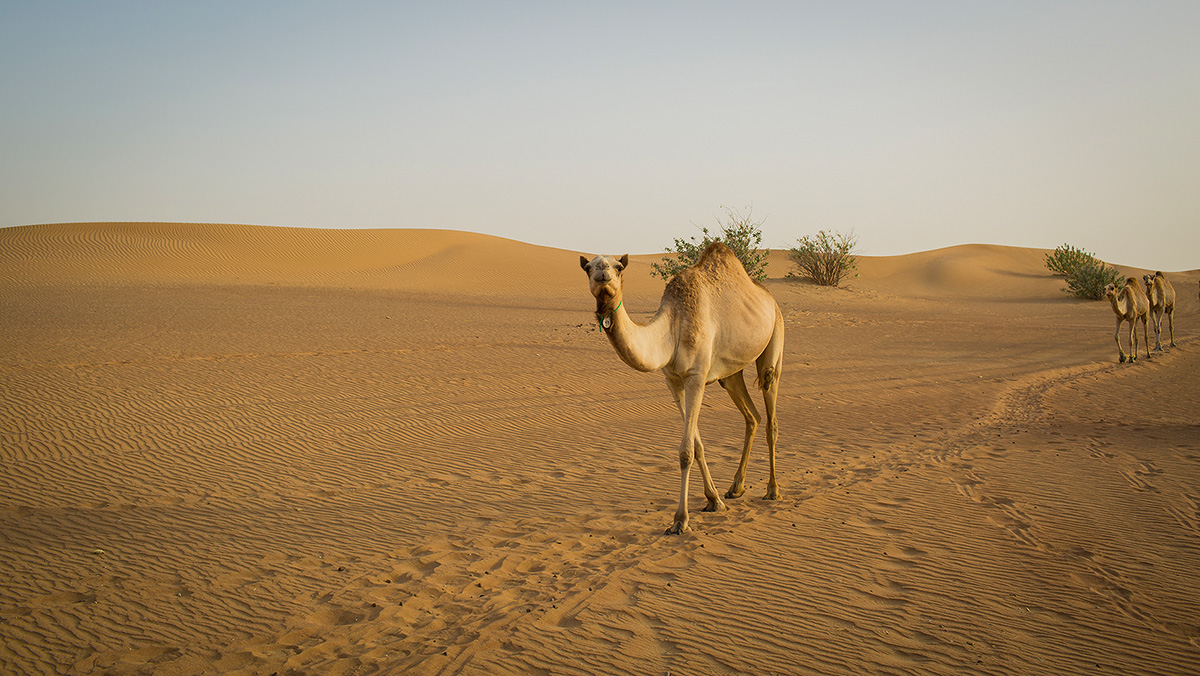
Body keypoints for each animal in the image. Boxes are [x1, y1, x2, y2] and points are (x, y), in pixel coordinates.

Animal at [580, 242, 787, 535]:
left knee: (771, 413)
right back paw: (736, 488)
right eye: (587, 267)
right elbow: (697, 445)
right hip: (731, 374)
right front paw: (714, 500)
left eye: (618, 267)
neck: (673, 329)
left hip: (775, 337)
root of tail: (769, 298)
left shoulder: (696, 377)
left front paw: (680, 520)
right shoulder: (673, 381)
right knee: (753, 417)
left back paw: (772, 490)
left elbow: (686, 451)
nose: (602, 271)